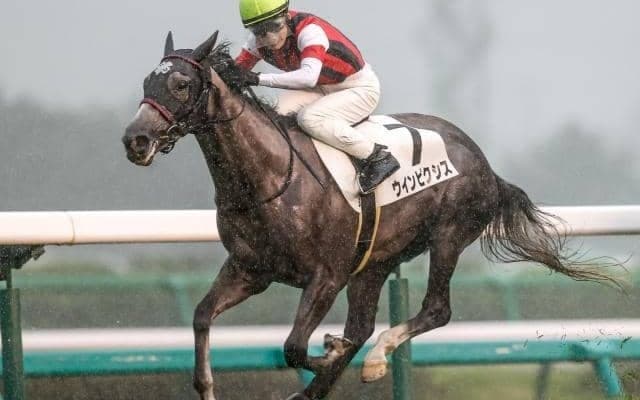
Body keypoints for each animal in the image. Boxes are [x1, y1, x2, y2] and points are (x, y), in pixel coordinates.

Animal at [122, 31, 619, 400]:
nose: (135, 140)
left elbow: (294, 346)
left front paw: (326, 351)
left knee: (434, 310)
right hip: (374, 261)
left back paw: (377, 358)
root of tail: (483, 162)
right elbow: (202, 316)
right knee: (361, 326)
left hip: (447, 237)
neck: (271, 178)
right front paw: (208, 385)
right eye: (147, 81)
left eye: (181, 84)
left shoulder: (326, 275)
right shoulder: (250, 269)